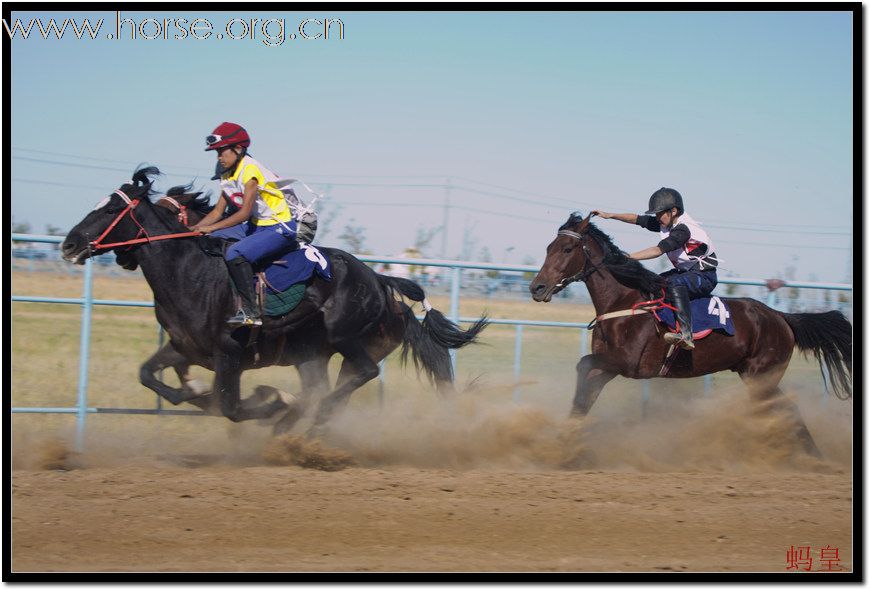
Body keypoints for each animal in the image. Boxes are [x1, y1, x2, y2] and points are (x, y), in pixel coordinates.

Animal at [61, 168, 488, 434]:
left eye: (112, 209)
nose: (69, 245)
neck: (190, 272)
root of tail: (382, 284)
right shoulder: (186, 347)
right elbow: (151, 376)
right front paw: (193, 390)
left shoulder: (229, 354)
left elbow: (232, 408)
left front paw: (272, 401)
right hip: (315, 356)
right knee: (329, 389)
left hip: (348, 339)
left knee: (359, 376)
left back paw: (299, 418)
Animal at [528, 213, 856, 458]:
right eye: (548, 247)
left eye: (567, 250)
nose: (537, 287)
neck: (624, 300)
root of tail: (782, 317)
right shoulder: (608, 364)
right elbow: (586, 394)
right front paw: (566, 442)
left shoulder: (627, 363)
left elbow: (583, 365)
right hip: (753, 376)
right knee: (780, 410)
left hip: (762, 375)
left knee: (788, 409)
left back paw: (814, 457)